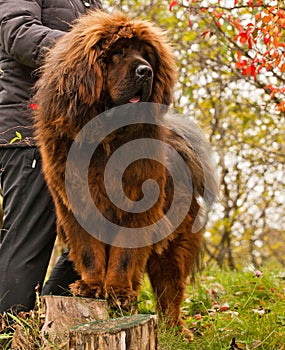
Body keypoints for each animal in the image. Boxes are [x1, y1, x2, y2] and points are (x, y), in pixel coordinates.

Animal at [35, 11, 217, 340]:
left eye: (146, 55)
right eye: (117, 53)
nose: (145, 71)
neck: (106, 137)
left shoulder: (137, 209)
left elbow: (124, 257)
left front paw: (117, 292)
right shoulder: (78, 206)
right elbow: (90, 252)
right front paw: (92, 287)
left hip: (174, 244)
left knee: (170, 290)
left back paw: (174, 329)